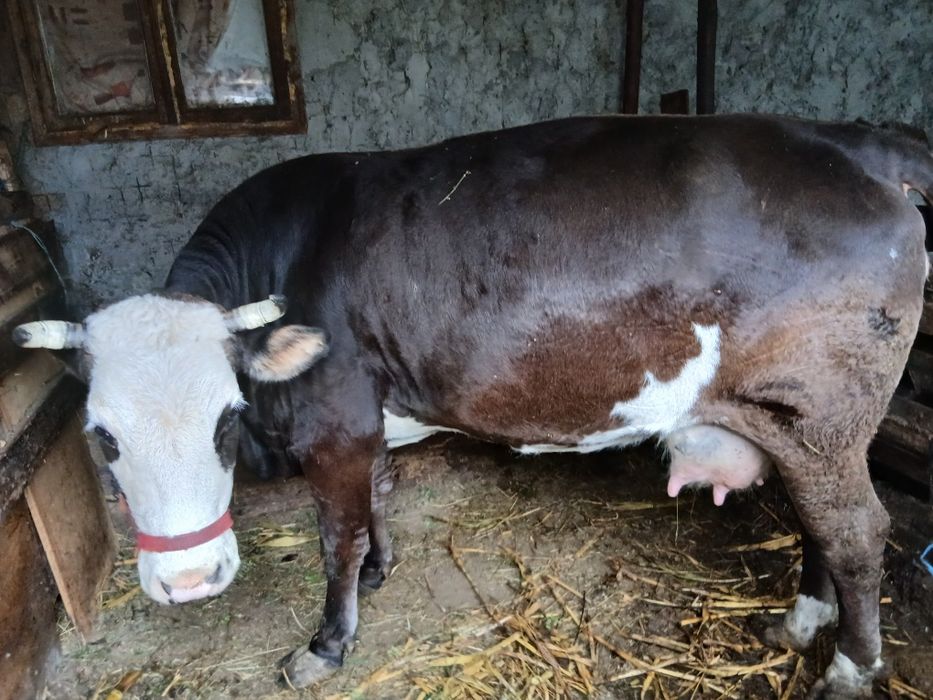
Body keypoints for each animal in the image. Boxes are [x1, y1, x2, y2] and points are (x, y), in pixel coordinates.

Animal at [13, 114, 932, 698]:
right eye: (102, 437)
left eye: (227, 418)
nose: (189, 580)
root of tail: (851, 140)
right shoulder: (370, 421)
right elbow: (378, 500)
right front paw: (380, 571)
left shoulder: (334, 420)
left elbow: (336, 535)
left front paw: (327, 643)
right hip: (801, 426)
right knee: (818, 527)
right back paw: (800, 622)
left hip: (819, 416)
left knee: (855, 533)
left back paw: (848, 668)